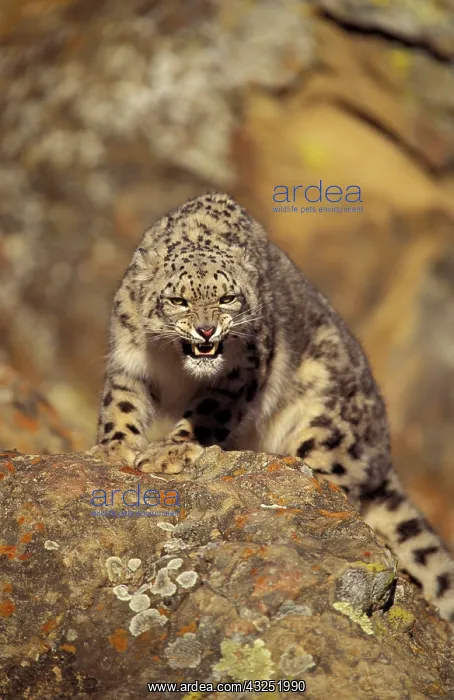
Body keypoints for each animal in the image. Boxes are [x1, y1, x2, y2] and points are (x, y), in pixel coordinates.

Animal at [90, 191, 454, 625]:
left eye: (228, 298)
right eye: (177, 300)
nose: (206, 331)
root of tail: (385, 455)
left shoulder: (242, 370)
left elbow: (209, 411)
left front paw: (169, 452)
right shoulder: (129, 360)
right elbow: (121, 404)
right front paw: (113, 449)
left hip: (324, 432)